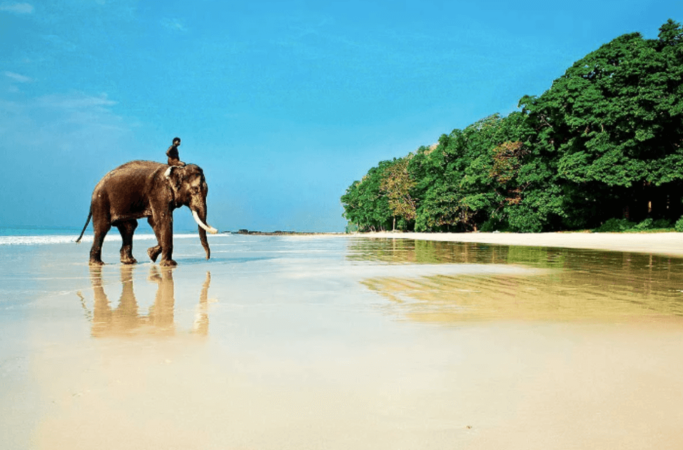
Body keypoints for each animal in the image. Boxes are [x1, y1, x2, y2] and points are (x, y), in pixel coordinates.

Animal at [76, 160, 217, 266]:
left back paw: (129, 262)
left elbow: (154, 222)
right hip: (101, 201)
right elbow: (163, 219)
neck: (176, 169)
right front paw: (168, 264)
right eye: (195, 190)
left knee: (129, 227)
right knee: (102, 228)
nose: (207, 258)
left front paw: (151, 254)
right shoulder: (159, 193)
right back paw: (97, 263)